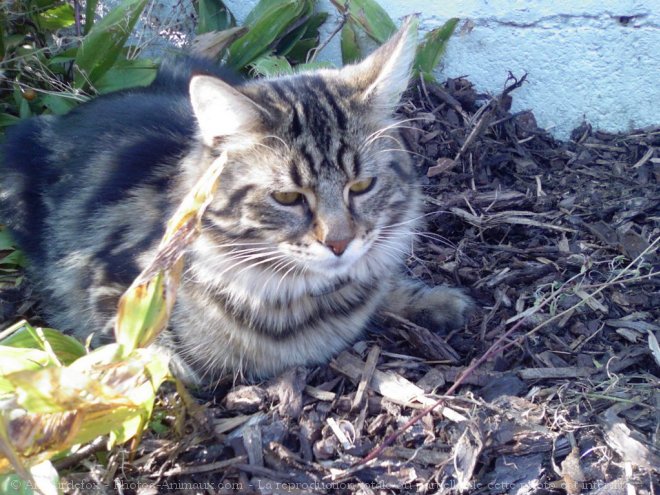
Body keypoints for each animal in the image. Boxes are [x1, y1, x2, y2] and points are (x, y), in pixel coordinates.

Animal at [1, 20, 474, 388]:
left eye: (361, 186)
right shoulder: (110, 294)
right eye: (287, 197)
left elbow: (388, 286)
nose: (339, 243)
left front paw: (438, 303)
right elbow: (153, 358)